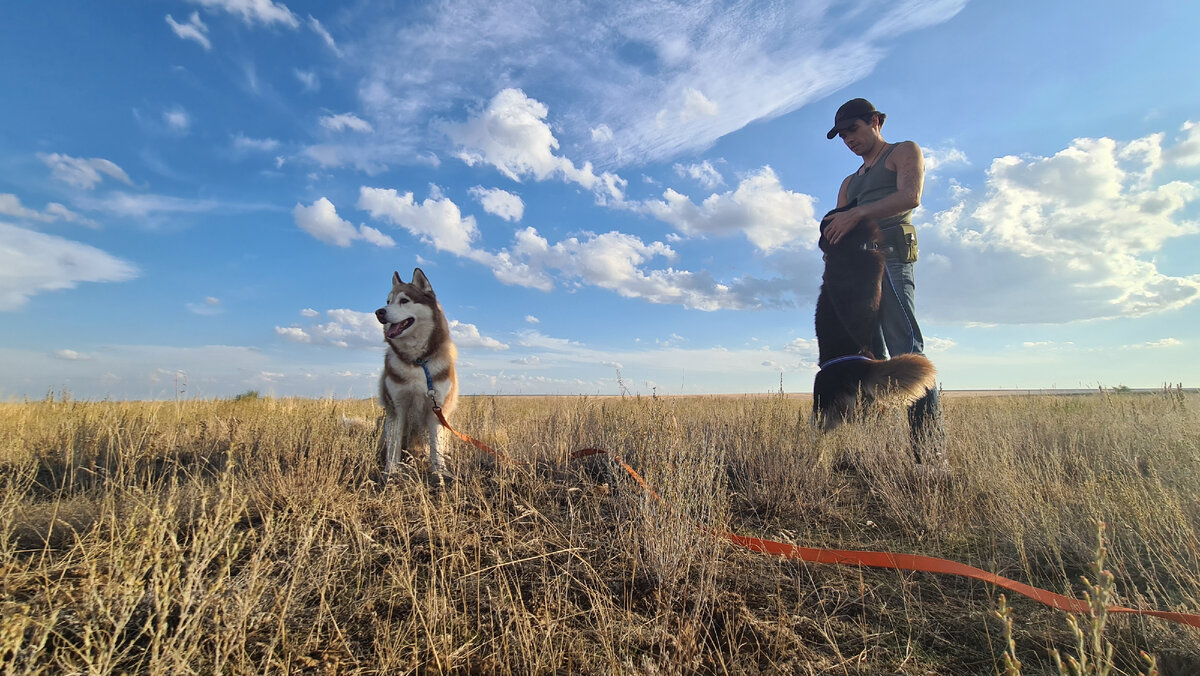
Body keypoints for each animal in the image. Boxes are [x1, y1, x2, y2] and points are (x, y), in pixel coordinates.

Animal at [372, 267, 456, 477]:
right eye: (388, 301)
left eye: (404, 300)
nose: (379, 312)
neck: (418, 362)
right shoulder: (397, 407)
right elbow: (394, 445)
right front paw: (391, 472)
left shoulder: (437, 408)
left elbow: (436, 446)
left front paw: (440, 472)